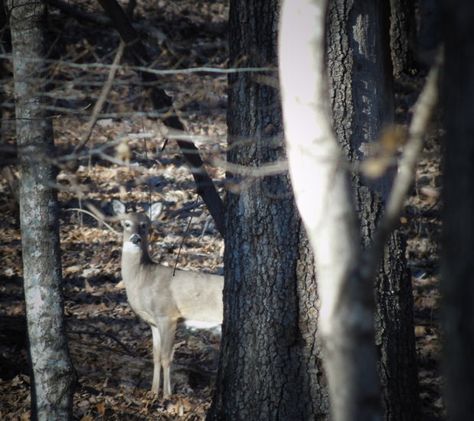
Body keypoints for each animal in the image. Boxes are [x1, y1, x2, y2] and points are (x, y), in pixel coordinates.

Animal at [112, 200, 223, 398]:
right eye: (126, 223)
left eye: (145, 225)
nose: (135, 239)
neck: (143, 278)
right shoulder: (153, 321)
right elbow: (155, 356)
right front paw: (153, 391)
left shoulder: (168, 315)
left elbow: (166, 357)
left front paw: (167, 395)